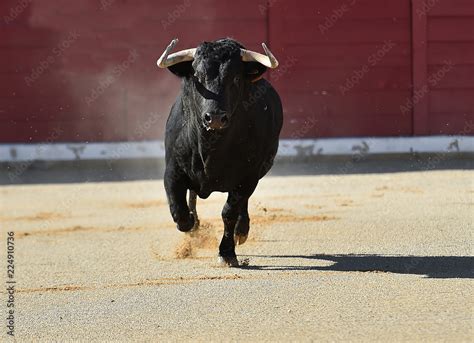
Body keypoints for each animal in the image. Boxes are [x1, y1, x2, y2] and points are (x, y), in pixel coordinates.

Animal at [161, 39, 284, 268]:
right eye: (197, 77)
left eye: (235, 78)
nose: (215, 118)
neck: (211, 146)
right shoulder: (172, 170)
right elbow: (179, 211)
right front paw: (191, 225)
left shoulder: (248, 177)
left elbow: (229, 212)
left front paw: (227, 253)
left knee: (240, 205)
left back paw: (241, 231)